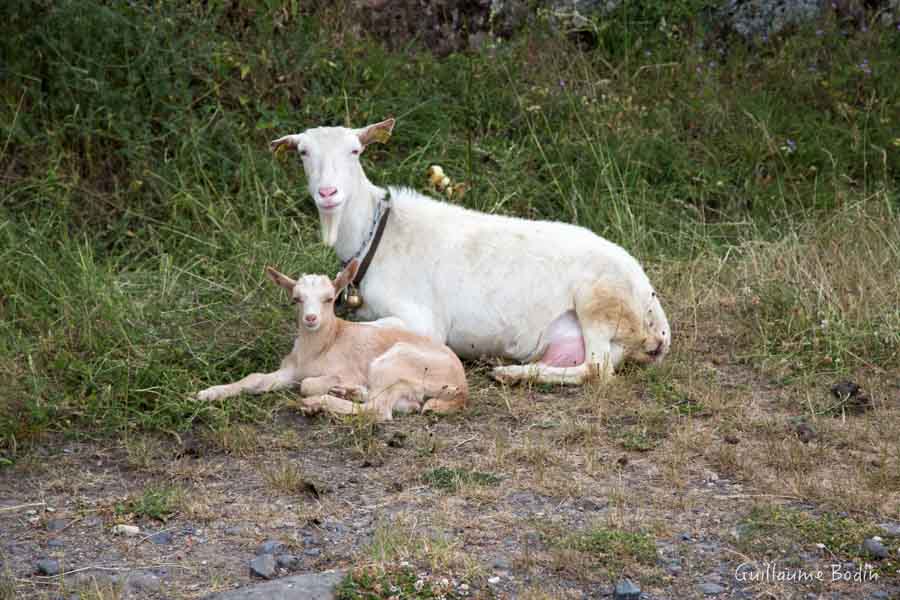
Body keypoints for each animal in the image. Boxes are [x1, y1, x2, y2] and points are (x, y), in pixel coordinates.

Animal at [194, 258, 468, 422]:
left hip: (395, 363)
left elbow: (306, 384)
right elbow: (254, 378)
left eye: (329, 299)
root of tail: (461, 388)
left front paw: (317, 393)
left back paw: (318, 402)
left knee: (378, 409)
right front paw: (208, 393)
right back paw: (347, 393)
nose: (311, 318)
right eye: (296, 299)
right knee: (399, 404)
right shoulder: (290, 370)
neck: (322, 345)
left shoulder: (345, 371)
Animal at [268, 119, 668, 384]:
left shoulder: (423, 321)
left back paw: (508, 373)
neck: (377, 235)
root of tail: (653, 310)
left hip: (599, 301)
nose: (328, 193)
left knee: (597, 369)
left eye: (355, 150)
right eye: (303, 152)